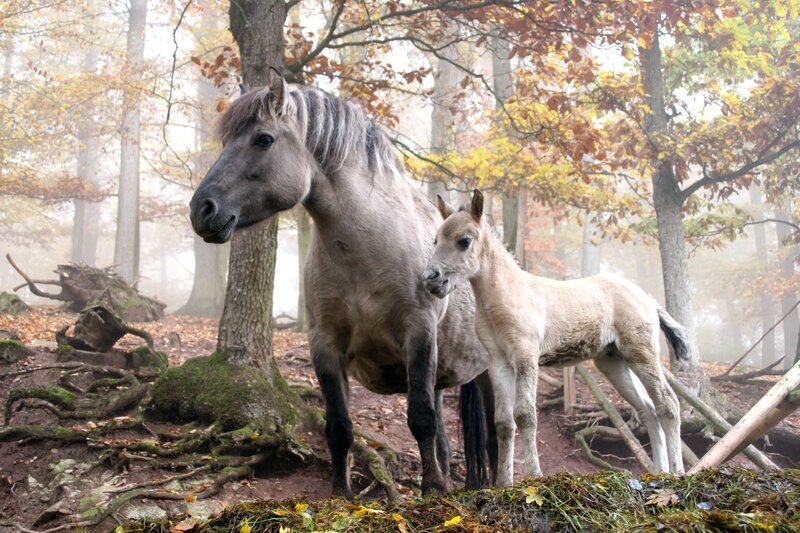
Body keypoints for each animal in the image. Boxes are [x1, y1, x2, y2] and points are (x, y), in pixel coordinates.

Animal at [189, 70, 495, 497]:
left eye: (263, 139)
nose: (202, 210)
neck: (365, 251)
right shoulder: (325, 344)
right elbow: (339, 428)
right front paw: (341, 494)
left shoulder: (418, 332)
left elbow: (420, 419)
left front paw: (432, 491)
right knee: (445, 438)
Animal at [423, 189, 687, 486]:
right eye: (436, 240)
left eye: (464, 241)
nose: (431, 279)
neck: (505, 296)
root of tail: (648, 299)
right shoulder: (499, 362)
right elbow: (503, 421)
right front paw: (503, 483)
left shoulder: (526, 356)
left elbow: (525, 414)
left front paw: (533, 475)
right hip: (613, 362)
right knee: (647, 410)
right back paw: (659, 472)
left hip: (641, 353)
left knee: (667, 403)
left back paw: (677, 471)